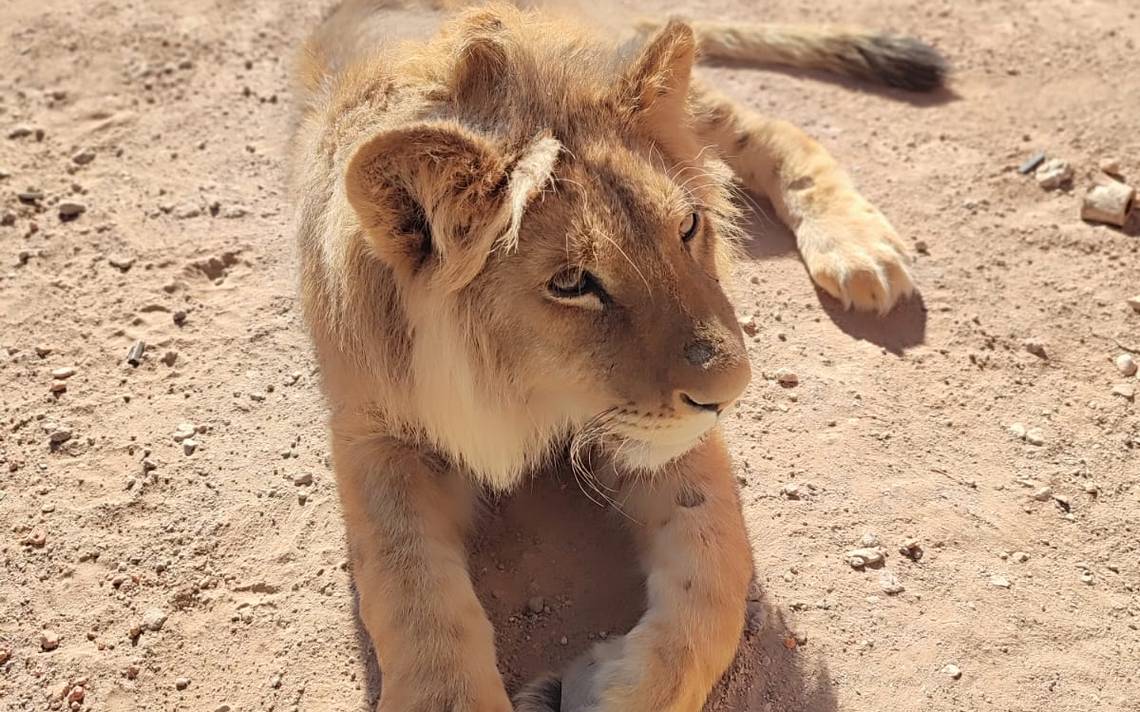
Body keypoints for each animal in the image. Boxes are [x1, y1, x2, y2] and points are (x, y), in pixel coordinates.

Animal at [291, 1, 943, 706]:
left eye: (687, 226)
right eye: (573, 283)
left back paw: (860, 250)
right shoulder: (374, 431)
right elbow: (409, 586)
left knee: (771, 125)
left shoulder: (667, 434)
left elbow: (715, 573)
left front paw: (609, 691)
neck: (520, 390)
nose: (733, 392)